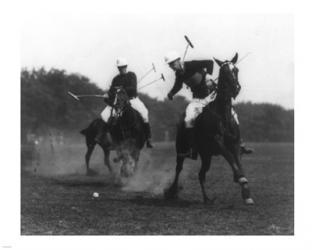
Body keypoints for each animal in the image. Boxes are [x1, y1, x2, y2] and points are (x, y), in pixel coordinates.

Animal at [165, 52, 255, 205]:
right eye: (224, 72)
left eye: (236, 70)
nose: (235, 88)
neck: (223, 114)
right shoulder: (217, 142)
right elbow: (230, 157)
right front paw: (240, 178)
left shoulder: (235, 142)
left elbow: (238, 161)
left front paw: (246, 193)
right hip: (181, 149)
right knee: (179, 169)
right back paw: (172, 192)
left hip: (206, 155)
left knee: (201, 174)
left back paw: (207, 198)